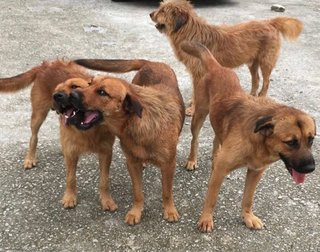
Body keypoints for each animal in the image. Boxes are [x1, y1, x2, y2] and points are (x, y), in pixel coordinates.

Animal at [52, 77, 117, 211]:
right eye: (56, 90)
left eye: (74, 86)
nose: (55, 96)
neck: (86, 129)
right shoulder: (71, 153)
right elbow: (70, 178)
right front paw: (69, 197)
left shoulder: (106, 152)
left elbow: (104, 180)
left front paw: (106, 199)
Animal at [69, 59, 185, 224]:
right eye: (90, 83)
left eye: (102, 92)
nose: (71, 94)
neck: (136, 125)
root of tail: (151, 62)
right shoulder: (131, 163)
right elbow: (137, 192)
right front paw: (136, 211)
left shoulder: (168, 165)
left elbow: (167, 191)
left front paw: (169, 210)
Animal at [180, 40, 316, 232]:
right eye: (291, 142)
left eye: (311, 139)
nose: (311, 168)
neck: (259, 142)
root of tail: (217, 67)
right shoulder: (222, 171)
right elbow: (211, 199)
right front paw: (206, 219)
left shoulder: (255, 172)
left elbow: (248, 198)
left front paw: (248, 217)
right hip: (199, 116)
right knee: (195, 139)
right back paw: (192, 160)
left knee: (216, 139)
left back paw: (215, 156)